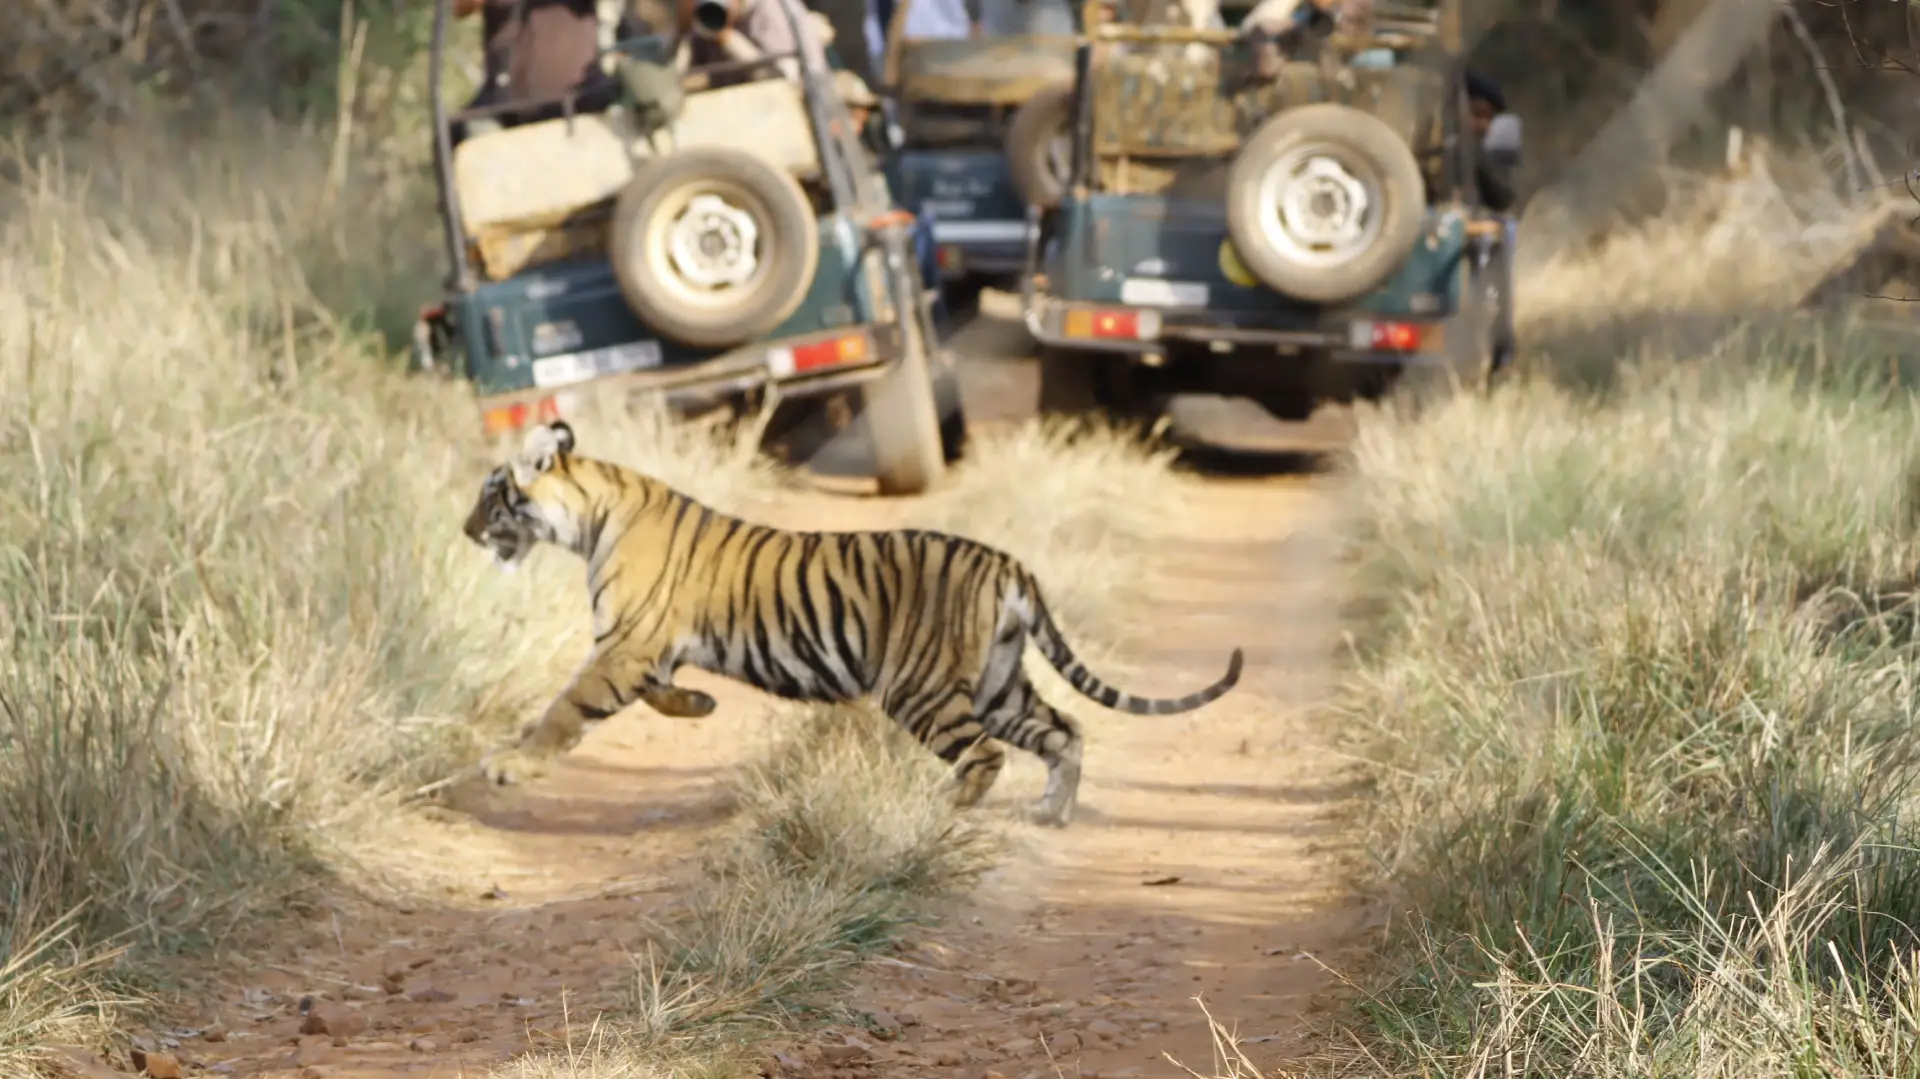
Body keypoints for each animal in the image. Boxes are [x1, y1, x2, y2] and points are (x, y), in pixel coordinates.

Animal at [461, 420, 1244, 827]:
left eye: (492, 496)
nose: (466, 531)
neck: (591, 513)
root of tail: (1008, 565)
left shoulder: (624, 643)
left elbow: (567, 707)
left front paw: (510, 764)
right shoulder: (641, 648)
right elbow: (655, 692)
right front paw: (700, 703)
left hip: (920, 688)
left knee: (986, 754)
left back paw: (940, 811)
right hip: (998, 681)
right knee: (1065, 729)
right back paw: (1049, 813)